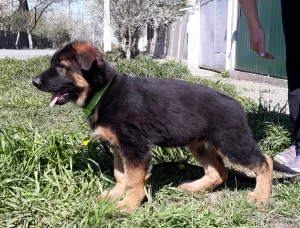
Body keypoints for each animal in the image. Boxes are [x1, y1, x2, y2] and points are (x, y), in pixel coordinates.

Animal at [32, 41, 296, 212]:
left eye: (61, 66)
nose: (34, 82)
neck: (103, 92)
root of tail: (237, 105)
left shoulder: (135, 147)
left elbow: (134, 179)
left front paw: (128, 204)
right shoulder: (119, 147)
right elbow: (121, 175)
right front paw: (115, 195)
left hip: (231, 143)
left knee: (265, 161)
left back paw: (260, 196)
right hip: (200, 145)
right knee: (219, 172)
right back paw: (193, 187)